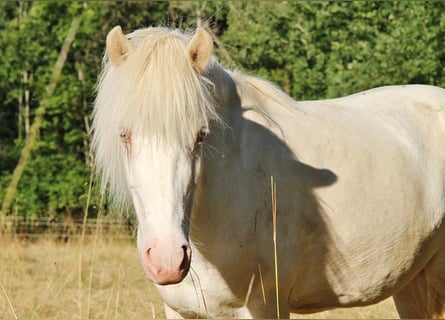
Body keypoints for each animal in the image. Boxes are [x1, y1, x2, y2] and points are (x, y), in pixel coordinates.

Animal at [92, 26, 442, 318]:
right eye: (124, 135)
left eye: (200, 135)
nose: (167, 261)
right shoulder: (181, 312)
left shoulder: (265, 306)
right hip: (412, 282)